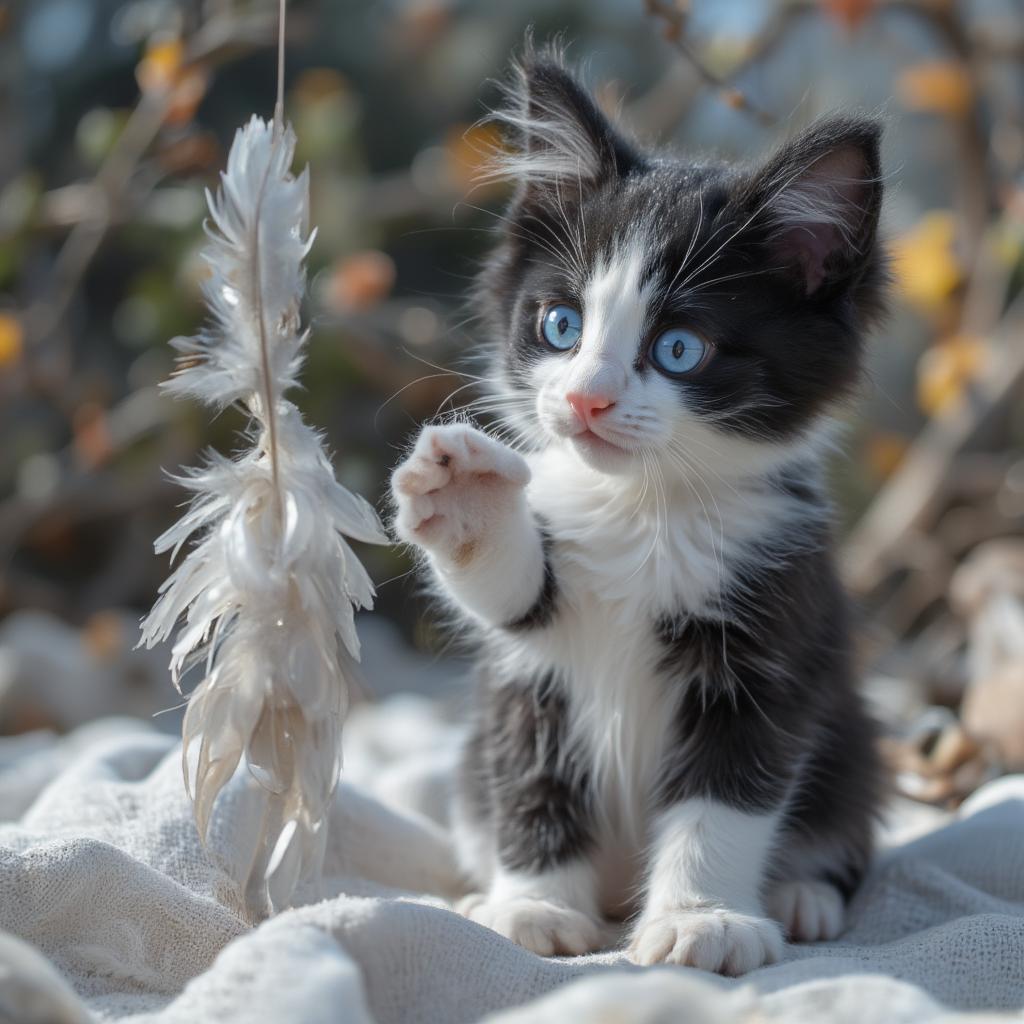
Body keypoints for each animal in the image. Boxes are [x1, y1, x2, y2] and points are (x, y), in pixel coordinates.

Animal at [391, 49, 888, 974]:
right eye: (560, 325)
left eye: (679, 349)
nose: (586, 398)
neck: (643, 507)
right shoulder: (530, 661)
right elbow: (529, 748)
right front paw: (536, 906)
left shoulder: (772, 635)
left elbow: (726, 798)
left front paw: (702, 918)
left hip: (853, 738)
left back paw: (800, 896)